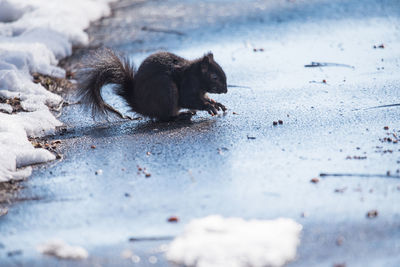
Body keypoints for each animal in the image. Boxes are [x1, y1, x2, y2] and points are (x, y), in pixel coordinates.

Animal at [77, 48, 228, 122]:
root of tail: (141, 106)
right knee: (165, 117)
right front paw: (209, 106)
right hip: (167, 90)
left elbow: (204, 98)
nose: (226, 90)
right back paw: (181, 115)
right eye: (214, 77)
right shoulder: (188, 84)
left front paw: (216, 103)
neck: (196, 75)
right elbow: (188, 99)